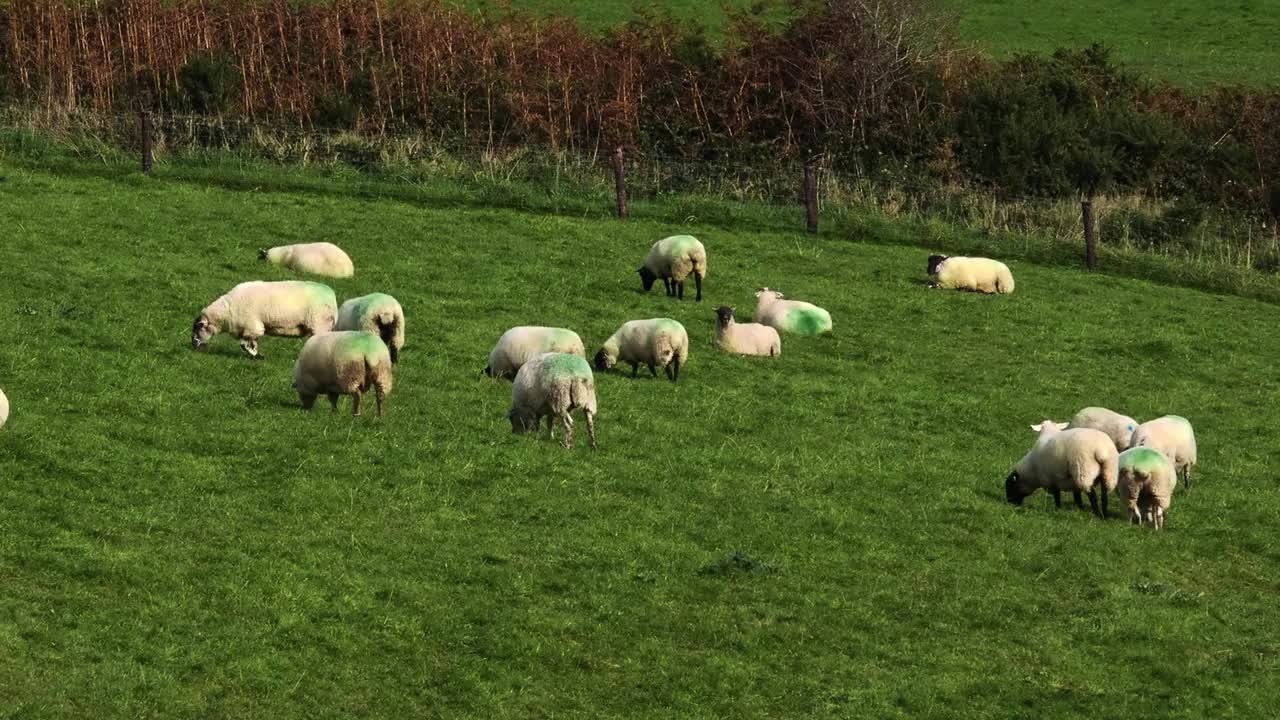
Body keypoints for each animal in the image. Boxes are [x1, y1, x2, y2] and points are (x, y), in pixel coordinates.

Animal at [192, 280, 337, 358]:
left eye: (198, 328)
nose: (194, 345)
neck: (226, 312)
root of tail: (332, 297)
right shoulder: (252, 329)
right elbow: (252, 343)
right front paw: (256, 354)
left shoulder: (252, 326)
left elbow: (244, 344)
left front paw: (255, 355)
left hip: (320, 324)